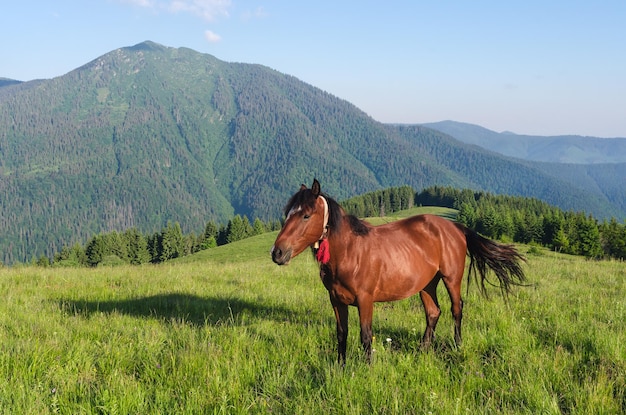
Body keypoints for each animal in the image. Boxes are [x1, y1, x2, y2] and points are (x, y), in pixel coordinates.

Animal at [270, 179, 524, 364]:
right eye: (287, 214)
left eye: (305, 215)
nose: (277, 252)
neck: (350, 252)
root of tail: (455, 227)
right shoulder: (336, 300)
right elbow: (341, 333)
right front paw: (340, 367)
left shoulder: (365, 300)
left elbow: (365, 336)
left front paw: (366, 369)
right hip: (427, 284)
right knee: (433, 312)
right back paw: (423, 349)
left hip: (452, 279)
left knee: (456, 309)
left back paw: (458, 345)